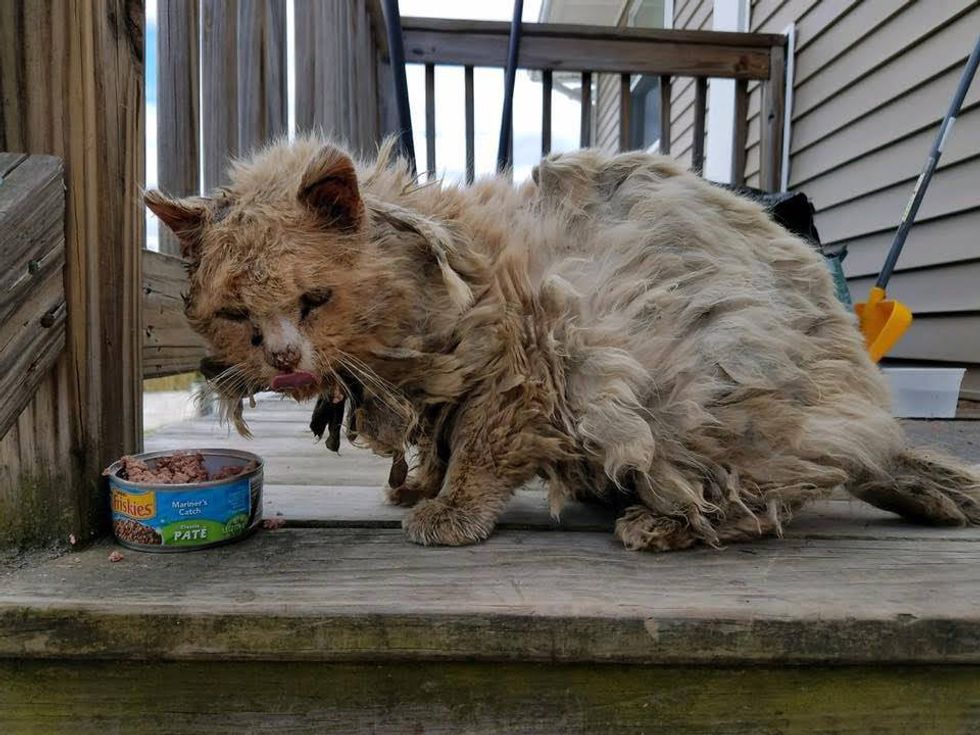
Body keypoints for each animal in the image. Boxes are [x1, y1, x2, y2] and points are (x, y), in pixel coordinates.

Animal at [145, 137, 980, 552]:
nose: (284, 358)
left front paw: (448, 514)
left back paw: (659, 523)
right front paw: (418, 486)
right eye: (235, 314)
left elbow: (477, 454)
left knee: (766, 500)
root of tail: (873, 426)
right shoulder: (455, 389)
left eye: (313, 301)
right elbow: (438, 443)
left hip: (705, 398)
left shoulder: (528, 371)